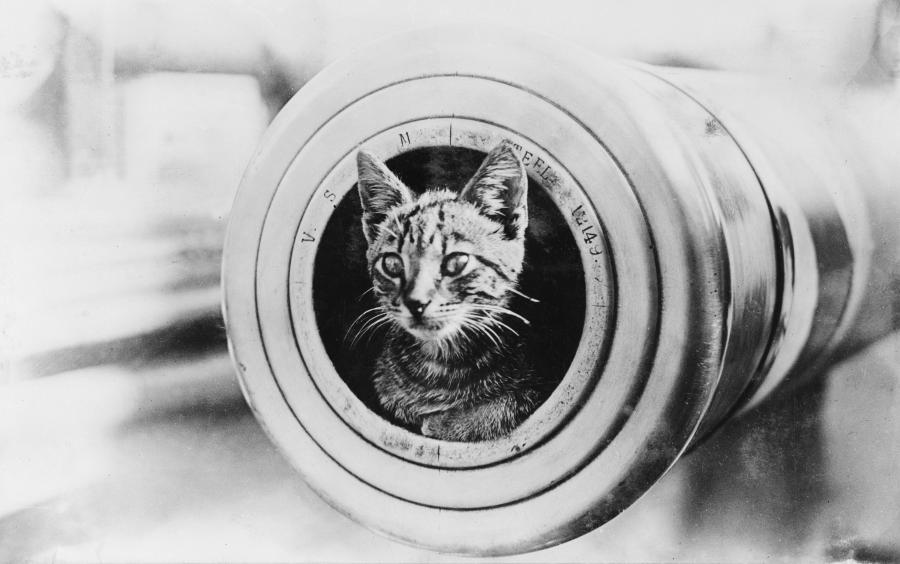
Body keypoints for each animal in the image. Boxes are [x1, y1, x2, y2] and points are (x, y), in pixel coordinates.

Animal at [356, 140, 540, 440]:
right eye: (392, 264)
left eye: (457, 262)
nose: (415, 302)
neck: (441, 366)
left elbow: (502, 406)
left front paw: (447, 423)